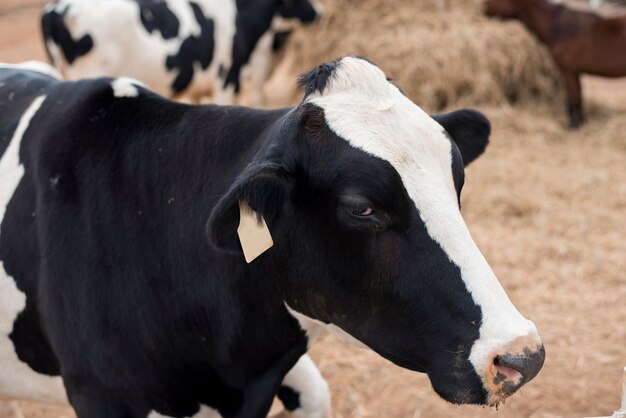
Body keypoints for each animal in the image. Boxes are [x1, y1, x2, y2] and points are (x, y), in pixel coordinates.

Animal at [482, 0, 624, 128]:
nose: (481, 8)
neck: (559, 28)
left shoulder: (568, 71)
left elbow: (574, 98)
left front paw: (574, 125)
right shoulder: (573, 73)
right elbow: (576, 96)